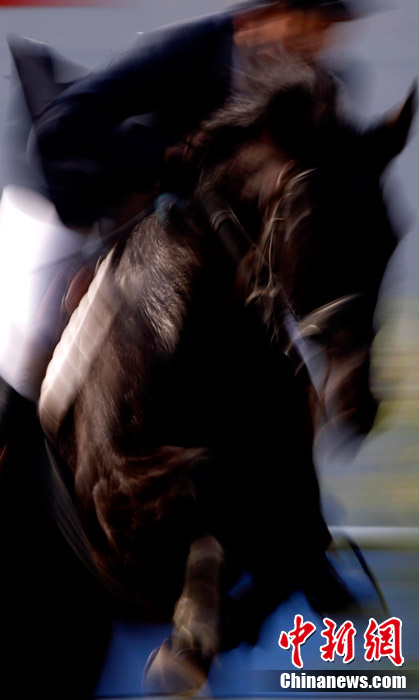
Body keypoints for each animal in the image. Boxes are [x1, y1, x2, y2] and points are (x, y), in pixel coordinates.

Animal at [34, 59, 415, 694]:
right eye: (314, 224)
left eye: (390, 238)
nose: (357, 403)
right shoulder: (114, 508)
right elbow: (212, 477)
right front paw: (188, 637)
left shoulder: (291, 507)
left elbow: (292, 543)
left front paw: (199, 638)